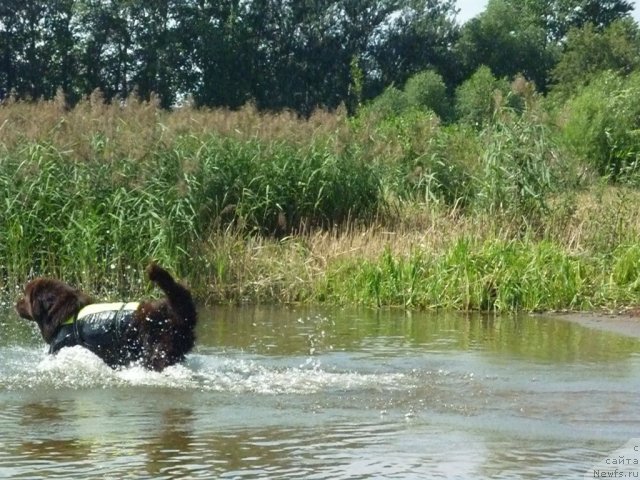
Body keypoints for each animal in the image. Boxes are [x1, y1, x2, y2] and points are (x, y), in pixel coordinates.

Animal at [16, 262, 198, 372]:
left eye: (25, 296)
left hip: (157, 350)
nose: (15, 303)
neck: (63, 314)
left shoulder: (60, 347)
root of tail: (176, 313)